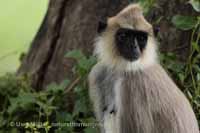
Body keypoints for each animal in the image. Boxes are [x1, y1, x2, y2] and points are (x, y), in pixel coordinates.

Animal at [88, 3, 199, 133]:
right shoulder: (98, 73)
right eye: (123, 35)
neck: (123, 69)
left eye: (141, 38)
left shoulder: (133, 85)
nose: (134, 46)